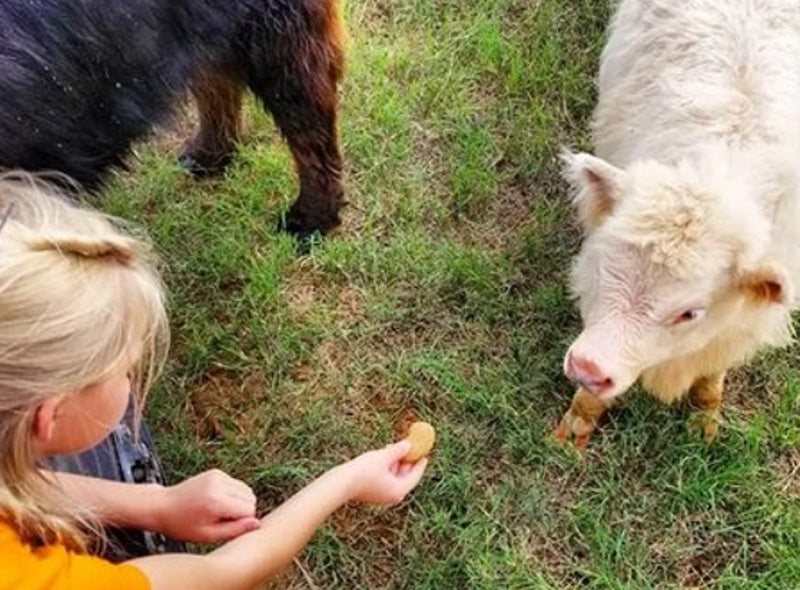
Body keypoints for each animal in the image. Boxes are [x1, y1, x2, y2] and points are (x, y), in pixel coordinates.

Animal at [556, 0, 800, 446]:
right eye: (605, 268)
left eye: (689, 313)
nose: (587, 368)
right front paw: (574, 426)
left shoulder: (740, 326)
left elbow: (711, 375)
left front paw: (705, 423)